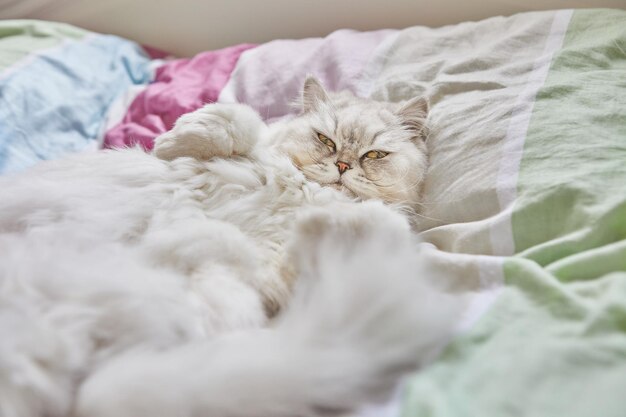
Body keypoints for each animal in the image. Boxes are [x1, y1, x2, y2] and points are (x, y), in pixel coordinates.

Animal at [0, 76, 456, 414]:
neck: (305, 191)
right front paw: (169, 143)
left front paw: (332, 221)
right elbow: (237, 119)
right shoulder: (244, 137)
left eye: (374, 155)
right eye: (326, 141)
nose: (342, 165)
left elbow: (381, 227)